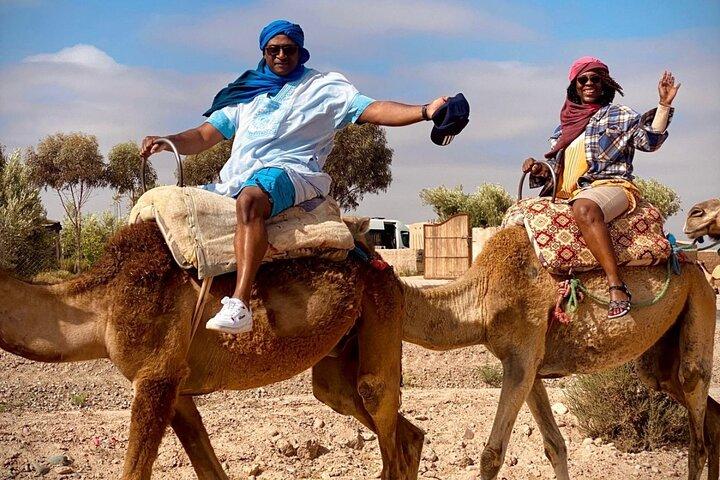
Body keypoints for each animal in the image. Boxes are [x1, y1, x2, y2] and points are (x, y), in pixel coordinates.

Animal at [0, 221, 424, 480]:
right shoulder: (177, 387)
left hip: (382, 310)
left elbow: (136, 470)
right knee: (397, 427)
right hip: (341, 357)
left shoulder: (155, 376)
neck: (101, 306)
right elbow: (208, 466)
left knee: (381, 411)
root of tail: (378, 258)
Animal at [400, 217, 719, 479]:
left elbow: (491, 455)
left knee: (695, 408)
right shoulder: (529, 367)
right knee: (693, 403)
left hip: (700, 298)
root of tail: (694, 262)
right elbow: (555, 445)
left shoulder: (521, 358)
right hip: (661, 353)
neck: (483, 294)